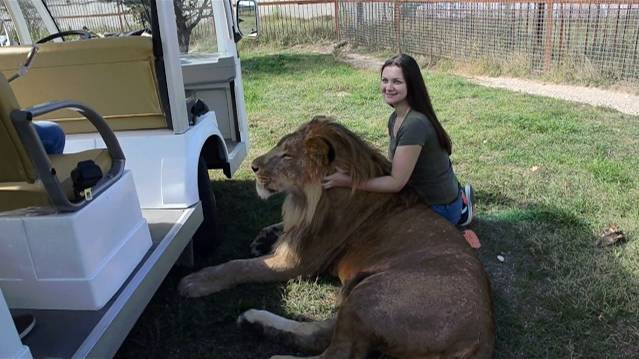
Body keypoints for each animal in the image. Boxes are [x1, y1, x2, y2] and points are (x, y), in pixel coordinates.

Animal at [179, 116, 496, 358]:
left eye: (287, 155)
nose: (253, 166)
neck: (307, 201)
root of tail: (480, 340)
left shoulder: (298, 263)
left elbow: (238, 266)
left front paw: (197, 281)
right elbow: (278, 229)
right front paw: (262, 238)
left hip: (371, 294)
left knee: (337, 352)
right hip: (358, 295)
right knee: (322, 332)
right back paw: (253, 321)